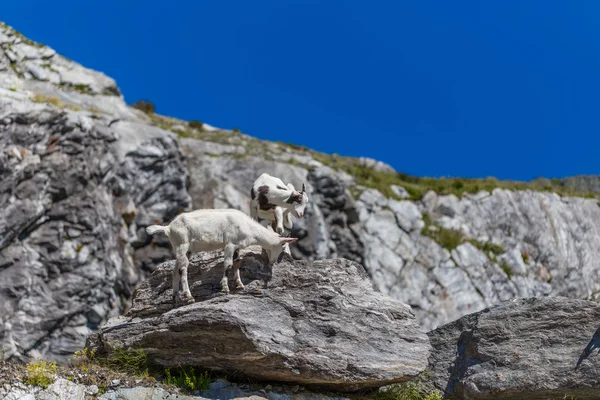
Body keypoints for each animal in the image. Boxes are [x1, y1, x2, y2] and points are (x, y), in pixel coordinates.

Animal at [148, 208, 298, 304]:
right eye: (283, 246)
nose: (273, 261)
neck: (248, 227)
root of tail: (168, 228)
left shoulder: (237, 246)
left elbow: (237, 263)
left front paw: (239, 284)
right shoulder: (229, 244)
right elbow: (228, 264)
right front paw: (225, 287)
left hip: (184, 249)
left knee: (175, 271)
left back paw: (176, 297)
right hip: (182, 245)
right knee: (182, 270)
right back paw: (189, 297)